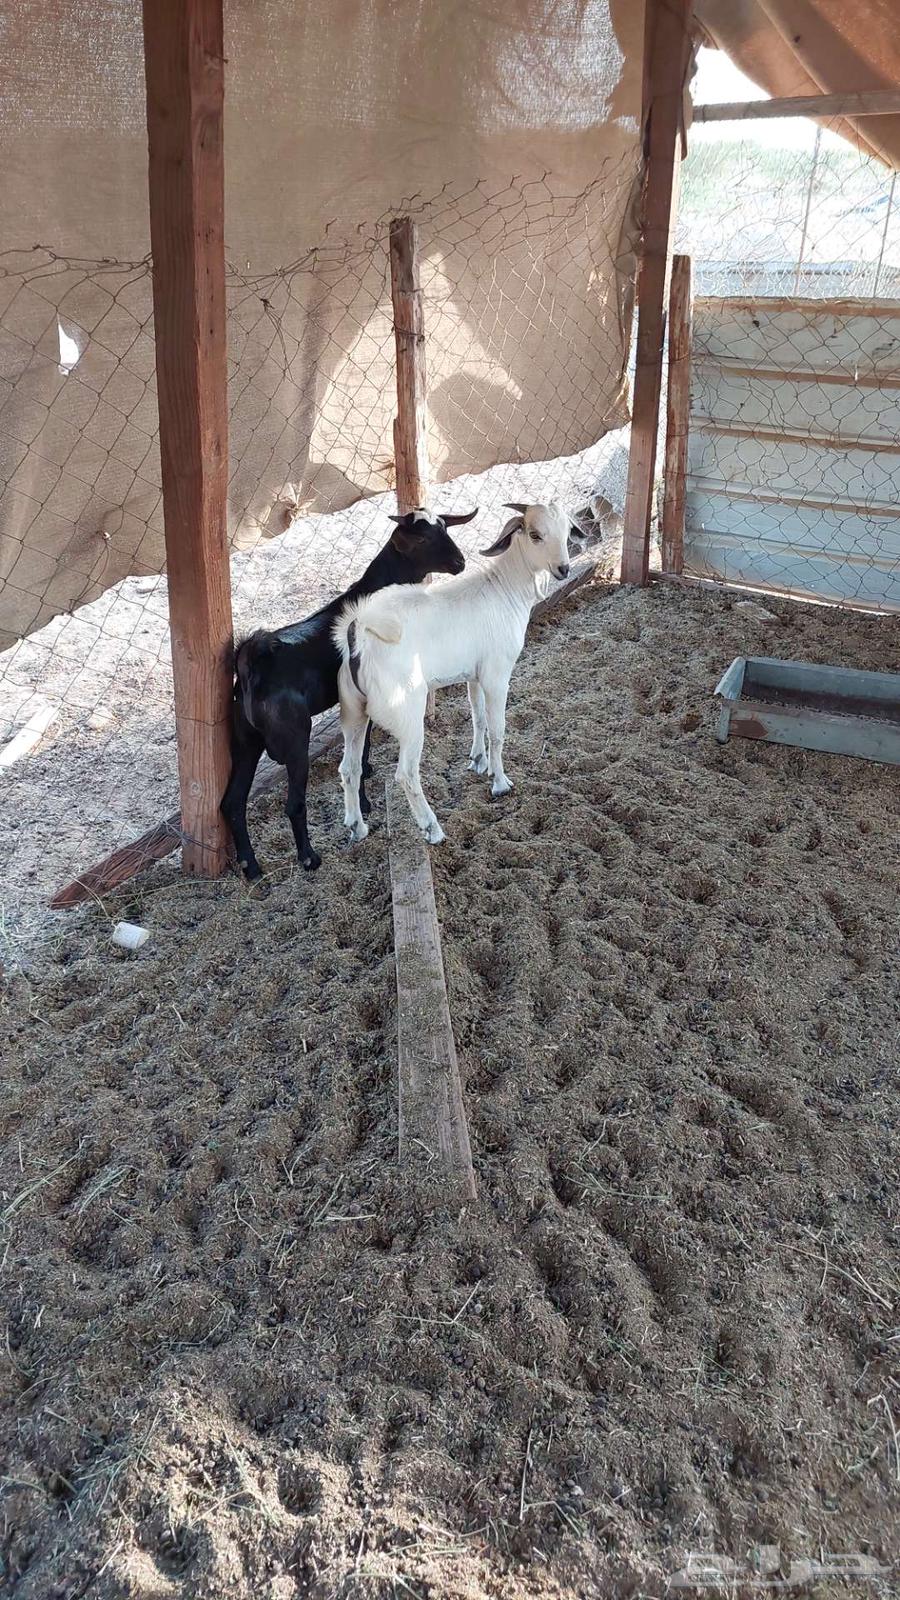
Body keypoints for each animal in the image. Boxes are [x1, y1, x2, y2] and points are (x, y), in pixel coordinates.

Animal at [221, 508, 475, 880]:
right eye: (422, 539)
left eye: (444, 528)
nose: (459, 562)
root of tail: (253, 662)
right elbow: (363, 747)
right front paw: (365, 802)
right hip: (295, 737)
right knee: (293, 803)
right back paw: (309, 858)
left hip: (245, 741)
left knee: (232, 803)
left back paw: (251, 867)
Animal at [333, 502, 576, 846]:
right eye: (534, 534)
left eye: (567, 532)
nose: (563, 570)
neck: (505, 590)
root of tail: (360, 633)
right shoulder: (497, 673)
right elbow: (498, 730)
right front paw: (500, 782)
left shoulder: (474, 674)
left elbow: (478, 717)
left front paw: (478, 762)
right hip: (407, 713)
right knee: (405, 773)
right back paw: (432, 829)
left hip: (353, 712)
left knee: (349, 769)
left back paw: (357, 827)